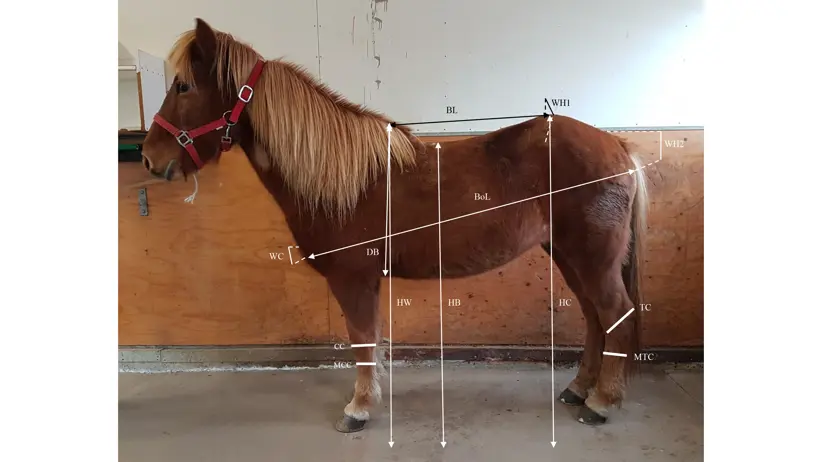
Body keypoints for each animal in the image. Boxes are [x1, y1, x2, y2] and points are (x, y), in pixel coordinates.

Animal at [139, 18, 648, 433]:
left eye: (183, 86)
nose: (148, 157)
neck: (338, 176)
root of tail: (619, 147)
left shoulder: (353, 277)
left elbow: (363, 339)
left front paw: (359, 409)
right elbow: (372, 339)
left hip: (591, 258)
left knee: (615, 314)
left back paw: (601, 402)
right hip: (567, 255)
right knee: (594, 317)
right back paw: (579, 389)